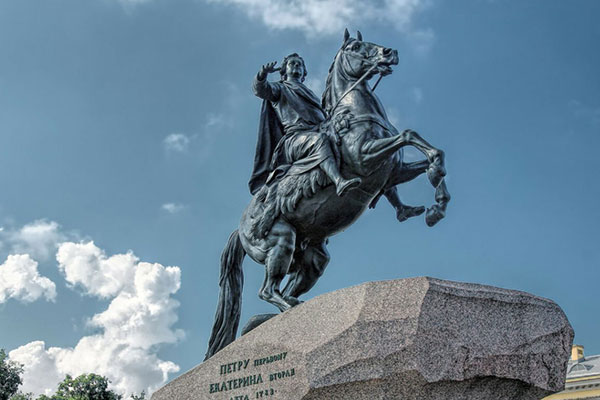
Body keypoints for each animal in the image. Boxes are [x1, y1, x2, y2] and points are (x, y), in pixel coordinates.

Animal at [206, 29, 450, 358]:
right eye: (356, 46)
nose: (390, 52)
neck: (355, 112)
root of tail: (240, 228)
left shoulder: (393, 171)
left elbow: (429, 155)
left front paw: (437, 204)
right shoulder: (366, 157)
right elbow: (409, 135)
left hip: (312, 259)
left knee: (286, 287)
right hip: (280, 241)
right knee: (267, 290)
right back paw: (290, 312)